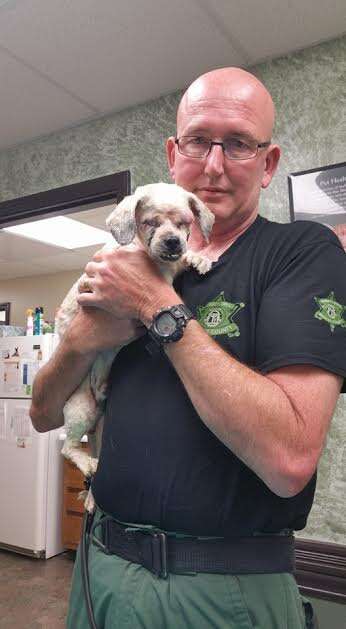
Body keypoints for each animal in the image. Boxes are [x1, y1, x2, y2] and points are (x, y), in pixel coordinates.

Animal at [56, 182, 214, 510]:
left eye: (185, 223)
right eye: (150, 222)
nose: (172, 242)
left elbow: (181, 263)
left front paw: (197, 258)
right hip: (81, 408)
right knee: (69, 448)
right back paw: (86, 464)